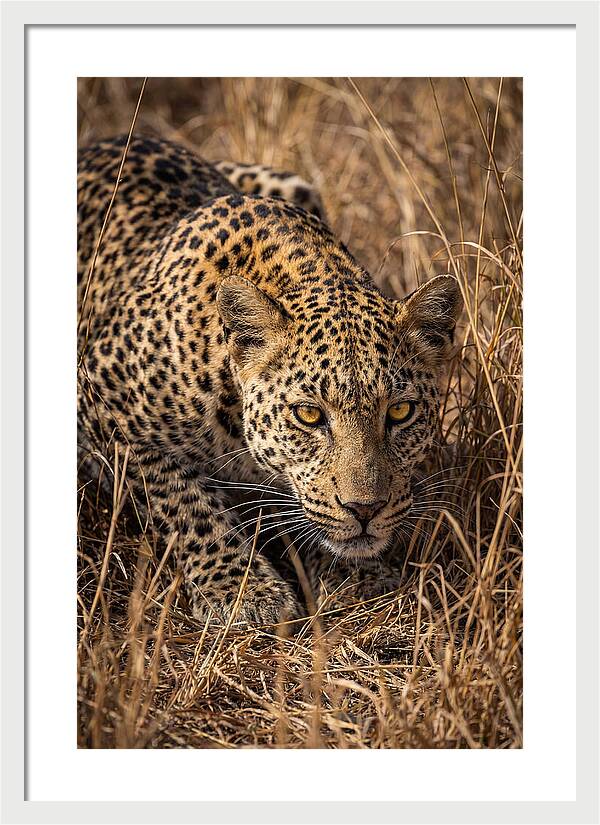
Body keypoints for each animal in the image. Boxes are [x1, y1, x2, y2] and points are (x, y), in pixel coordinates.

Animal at [77, 134, 461, 626]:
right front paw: (243, 591)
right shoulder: (101, 397)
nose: (365, 510)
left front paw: (358, 577)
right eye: (309, 415)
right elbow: (183, 501)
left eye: (400, 411)